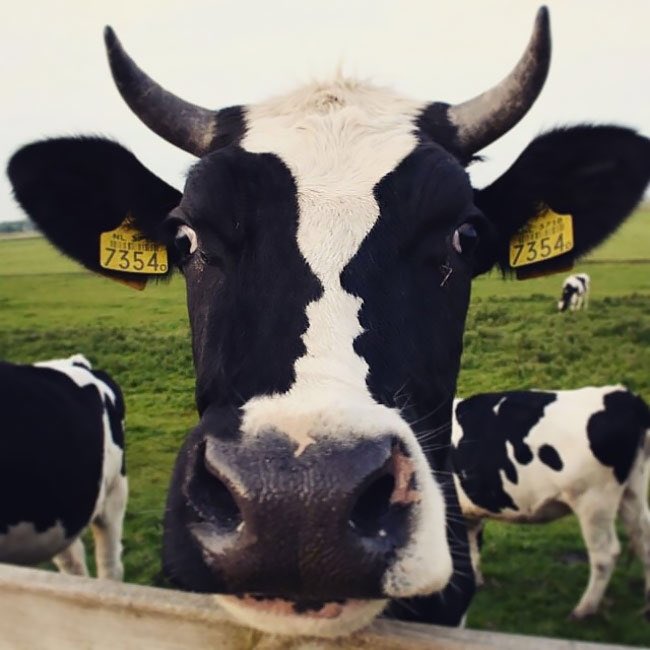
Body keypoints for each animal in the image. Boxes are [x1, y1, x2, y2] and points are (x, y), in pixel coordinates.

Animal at [451, 386, 650, 620]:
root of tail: (623, 395)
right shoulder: (470, 510)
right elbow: (472, 544)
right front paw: (475, 582)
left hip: (594, 499)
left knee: (606, 554)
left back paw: (583, 610)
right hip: (632, 491)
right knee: (643, 539)